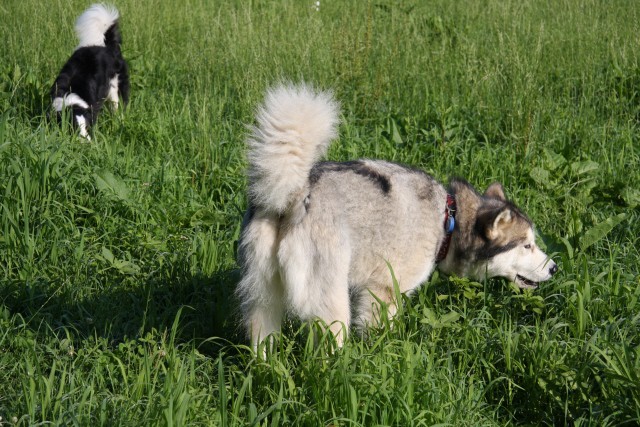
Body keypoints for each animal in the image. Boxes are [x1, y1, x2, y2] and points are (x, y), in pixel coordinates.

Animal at [52, 3, 129, 140]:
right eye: (74, 129)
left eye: (87, 127)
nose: (88, 142)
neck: (71, 93)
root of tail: (107, 46)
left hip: (114, 86)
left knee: (117, 105)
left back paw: (118, 123)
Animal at [238, 84, 556, 352]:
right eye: (526, 245)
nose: (554, 268)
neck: (447, 220)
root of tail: (294, 196)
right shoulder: (384, 291)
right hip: (331, 308)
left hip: (263, 301)